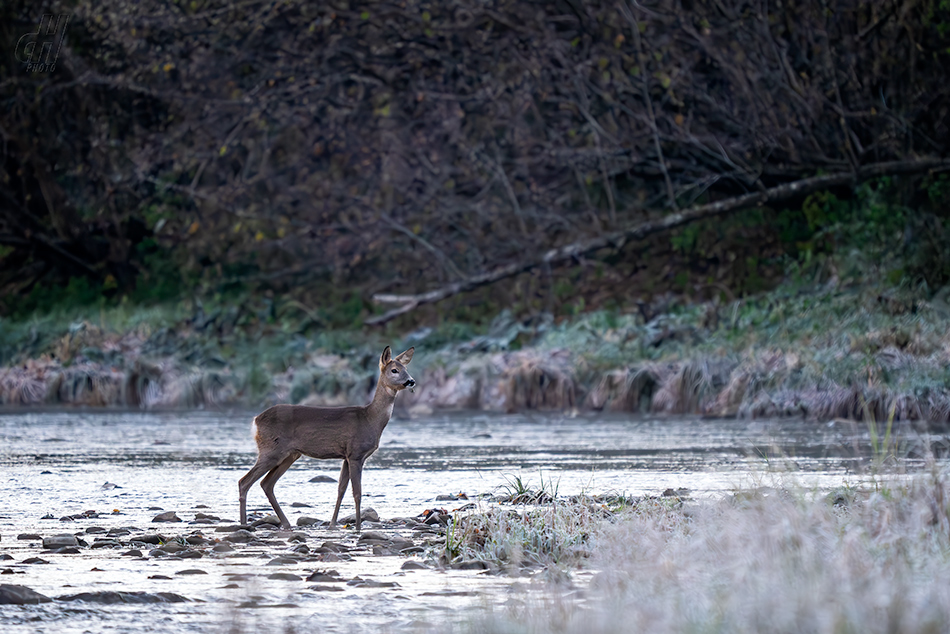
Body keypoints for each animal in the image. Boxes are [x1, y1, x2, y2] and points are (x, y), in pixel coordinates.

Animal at [240, 346, 414, 528]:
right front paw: (358, 527)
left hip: (290, 454)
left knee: (266, 483)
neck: (370, 418)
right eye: (394, 370)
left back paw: (285, 523)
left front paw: (332, 524)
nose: (411, 381)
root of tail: (256, 420)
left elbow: (341, 489)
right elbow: (357, 493)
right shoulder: (356, 453)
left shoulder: (346, 456)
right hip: (271, 449)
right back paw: (244, 523)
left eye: (405, 368)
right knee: (245, 481)